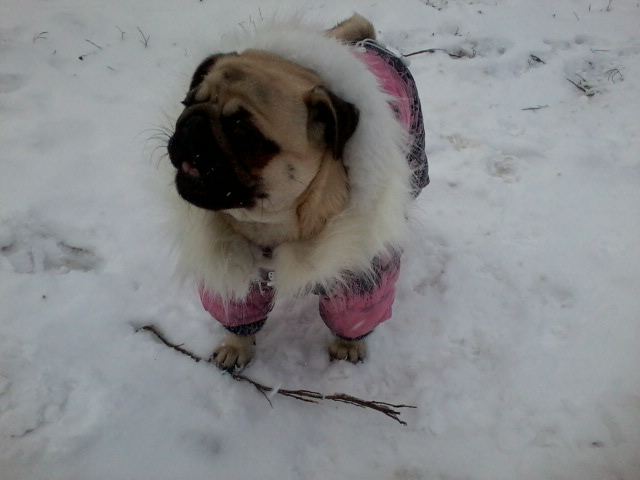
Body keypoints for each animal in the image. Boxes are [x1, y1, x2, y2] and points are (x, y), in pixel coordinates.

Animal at [166, 14, 428, 371]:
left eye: (244, 132)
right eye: (188, 102)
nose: (193, 123)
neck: (270, 227)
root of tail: (366, 42)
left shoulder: (360, 276)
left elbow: (353, 319)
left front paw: (348, 345)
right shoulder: (237, 273)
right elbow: (239, 315)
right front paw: (236, 345)